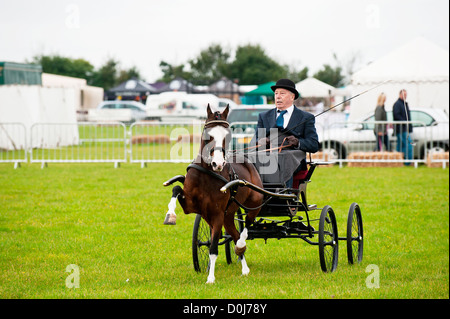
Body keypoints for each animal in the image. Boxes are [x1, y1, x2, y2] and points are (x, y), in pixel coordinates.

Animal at [163, 105, 264, 284]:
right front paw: (170, 215)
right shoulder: (190, 206)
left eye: (227, 135)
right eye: (207, 134)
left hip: (253, 204)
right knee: (235, 234)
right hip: (227, 216)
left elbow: (213, 249)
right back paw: (244, 266)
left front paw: (210, 278)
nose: (218, 163)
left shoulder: (217, 214)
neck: (207, 174)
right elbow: (176, 189)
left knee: (246, 226)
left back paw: (241, 248)